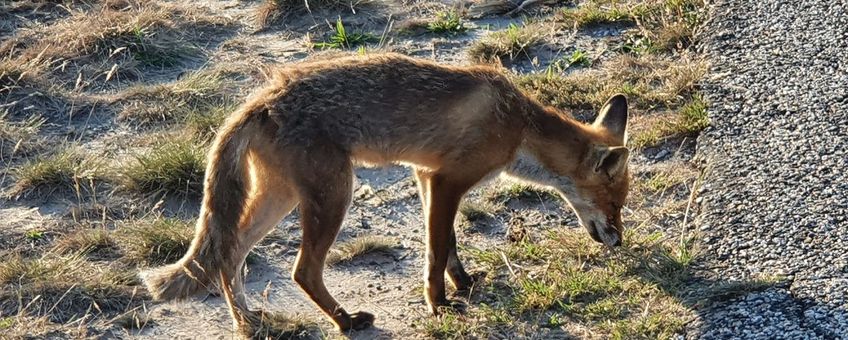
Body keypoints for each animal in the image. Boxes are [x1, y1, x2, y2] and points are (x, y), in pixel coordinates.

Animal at [141, 53, 628, 334]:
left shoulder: (426, 176)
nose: (619, 241)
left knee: (229, 251)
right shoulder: (448, 181)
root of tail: (263, 97)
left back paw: (247, 323)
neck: (518, 125)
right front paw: (439, 305)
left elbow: (449, 245)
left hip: (281, 197)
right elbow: (436, 251)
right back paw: (344, 322)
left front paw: (463, 284)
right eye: (614, 204)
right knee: (301, 271)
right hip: (333, 195)